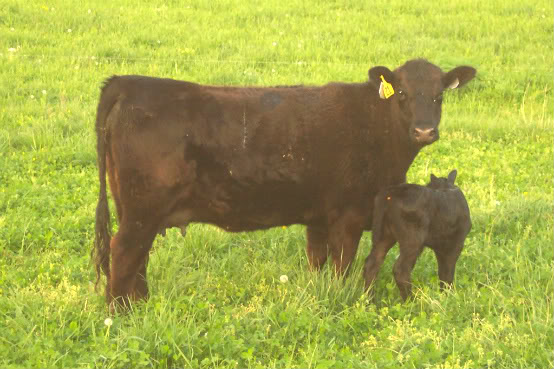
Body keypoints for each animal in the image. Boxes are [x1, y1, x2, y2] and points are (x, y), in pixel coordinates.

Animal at [362, 170, 470, 300]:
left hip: (383, 234)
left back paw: (369, 299)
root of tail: (388, 196)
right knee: (401, 269)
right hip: (413, 239)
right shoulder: (455, 244)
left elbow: (443, 273)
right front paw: (448, 296)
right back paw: (410, 300)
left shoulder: (442, 248)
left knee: (372, 263)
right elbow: (447, 273)